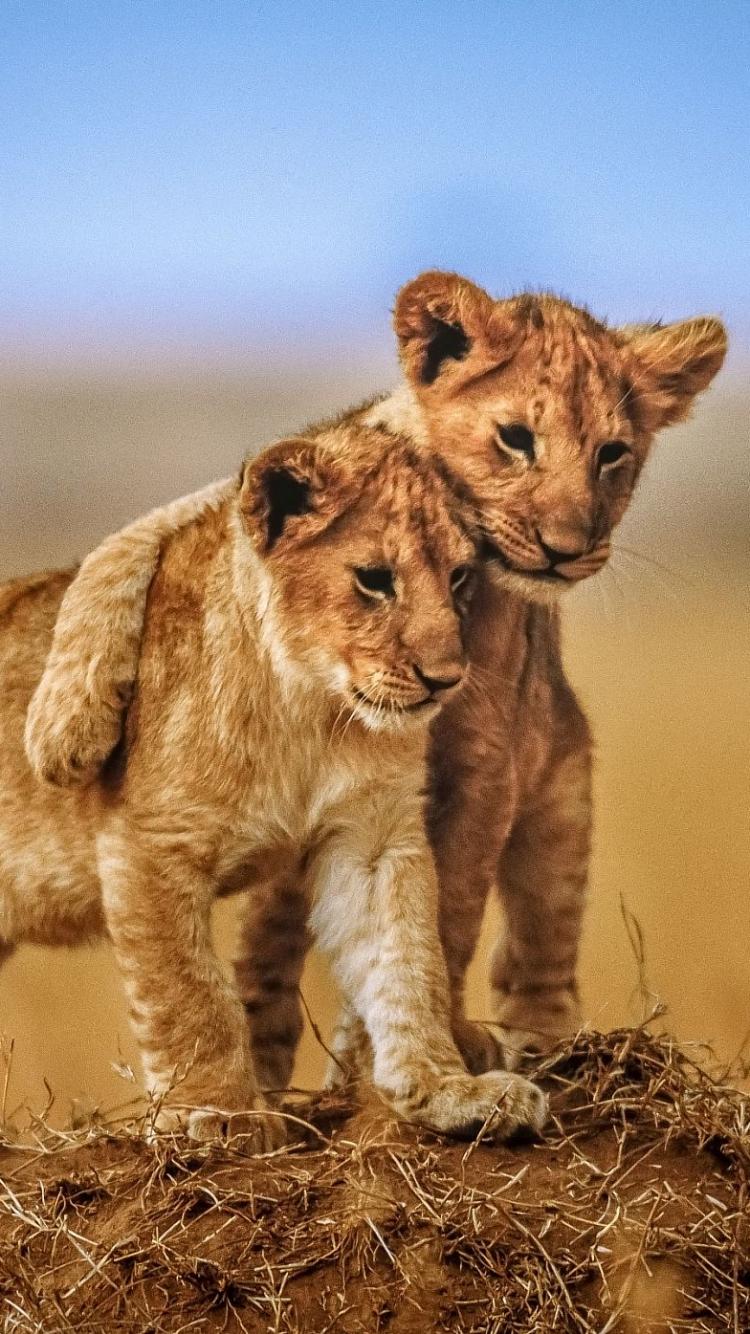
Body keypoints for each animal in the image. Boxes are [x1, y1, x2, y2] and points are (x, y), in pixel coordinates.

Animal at [1, 423, 549, 1144]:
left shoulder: (373, 837)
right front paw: (221, 1114)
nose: (445, 679)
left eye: (459, 577)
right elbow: (190, 994)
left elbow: (407, 959)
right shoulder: (147, 843)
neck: (309, 710)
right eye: (375, 580)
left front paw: (448, 1092)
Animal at [23, 271, 726, 1088]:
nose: (567, 549)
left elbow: (449, 911)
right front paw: (66, 728)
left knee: (537, 942)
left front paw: (425, 1047)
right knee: (270, 940)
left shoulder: (486, 761)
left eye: (613, 454)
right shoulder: (246, 499)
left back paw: (541, 1044)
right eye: (516, 439)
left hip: (561, 791)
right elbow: (123, 548)